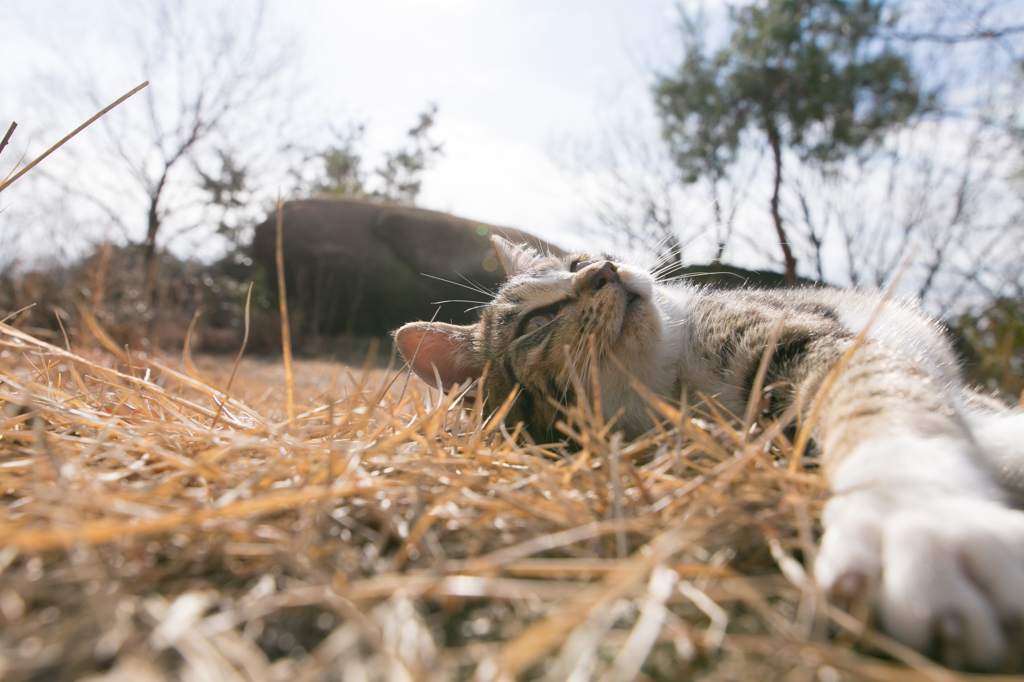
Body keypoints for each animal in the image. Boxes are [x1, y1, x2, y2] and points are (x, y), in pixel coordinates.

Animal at [395, 236, 1024, 667]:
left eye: (576, 263)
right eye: (537, 322)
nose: (604, 270)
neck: (674, 383)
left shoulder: (806, 336)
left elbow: (880, 394)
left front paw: (917, 510)